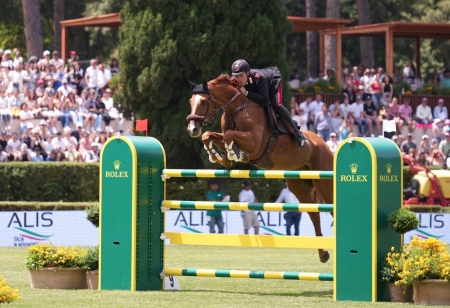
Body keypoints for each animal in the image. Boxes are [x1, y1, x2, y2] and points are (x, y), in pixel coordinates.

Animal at [186, 74, 334, 262]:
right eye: (191, 101)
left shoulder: (254, 143)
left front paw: (234, 153)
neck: (236, 109)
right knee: (314, 214)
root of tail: (323, 143)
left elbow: (229, 136)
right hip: (299, 186)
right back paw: (323, 254)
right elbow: (210, 135)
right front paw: (222, 158)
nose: (192, 129)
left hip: (324, 183)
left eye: (204, 101)